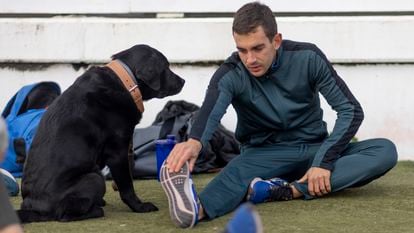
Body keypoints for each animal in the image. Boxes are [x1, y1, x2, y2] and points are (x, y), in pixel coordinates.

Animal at [16, 44, 184, 222]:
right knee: (64, 215)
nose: (183, 81)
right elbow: (127, 186)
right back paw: (97, 210)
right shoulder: (118, 152)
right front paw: (140, 207)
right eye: (166, 67)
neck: (126, 81)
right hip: (95, 177)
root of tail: (35, 208)